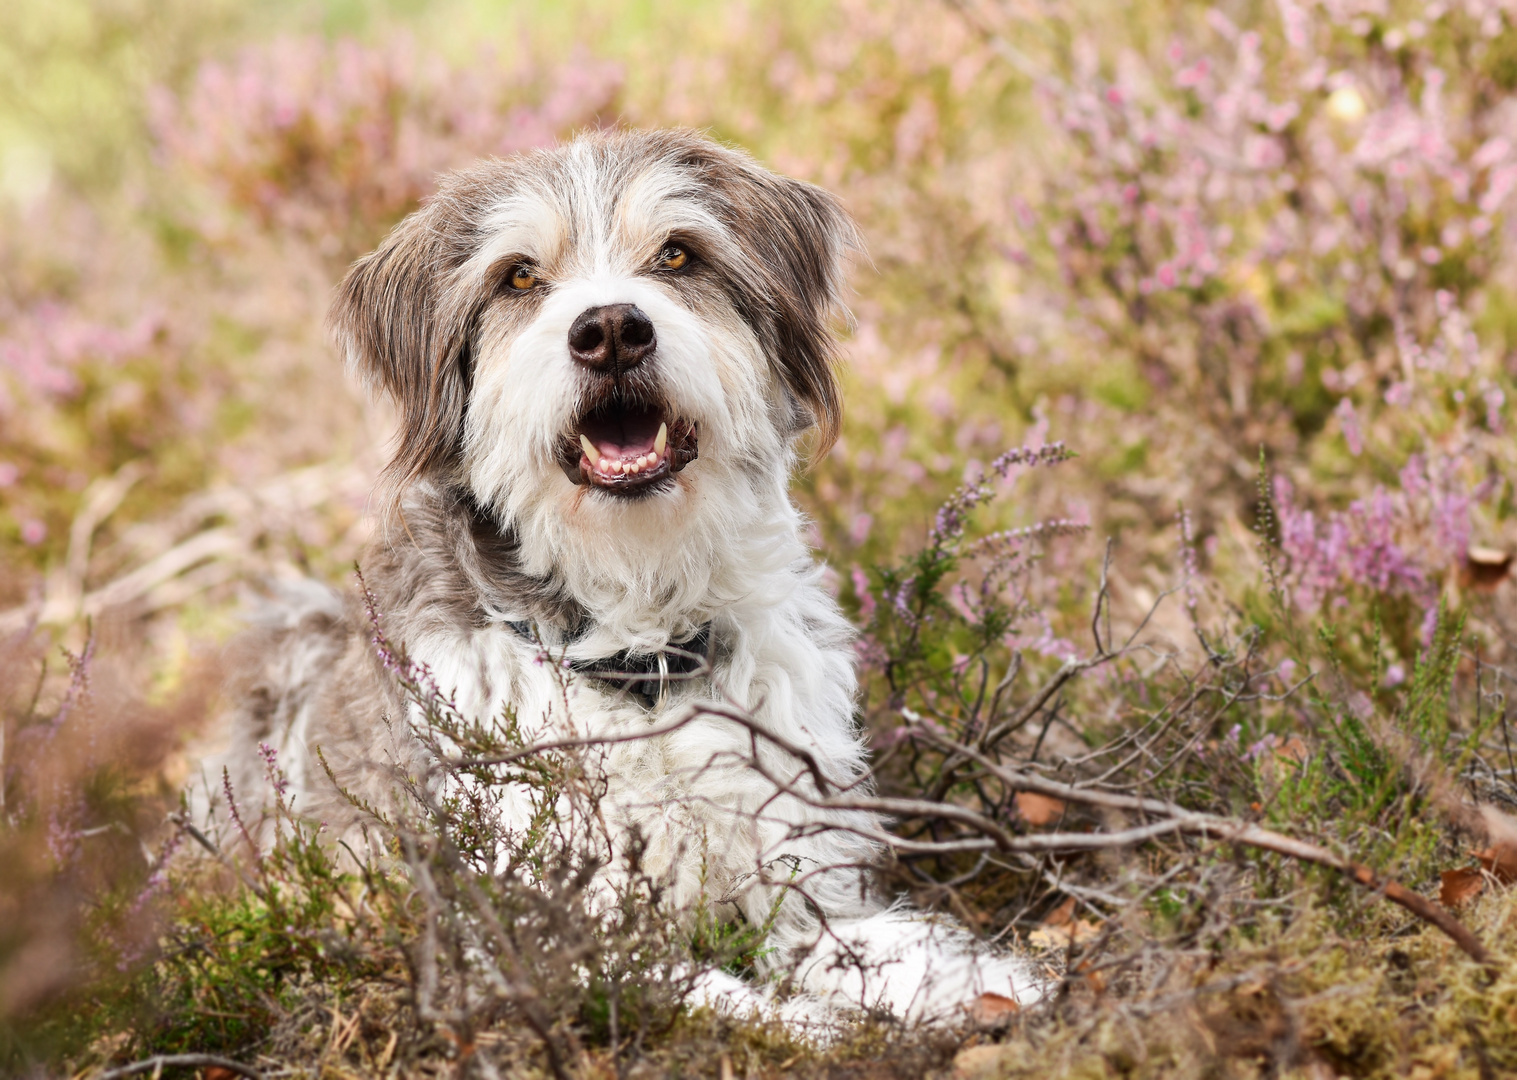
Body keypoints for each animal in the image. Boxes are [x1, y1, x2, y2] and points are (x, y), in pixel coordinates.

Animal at [210, 128, 1043, 1031]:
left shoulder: (799, 881)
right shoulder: (532, 927)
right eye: (518, 276)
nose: (611, 330)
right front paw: (806, 1028)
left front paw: (990, 987)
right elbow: (714, 997)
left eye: (676, 254)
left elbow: (868, 947)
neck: (640, 649)